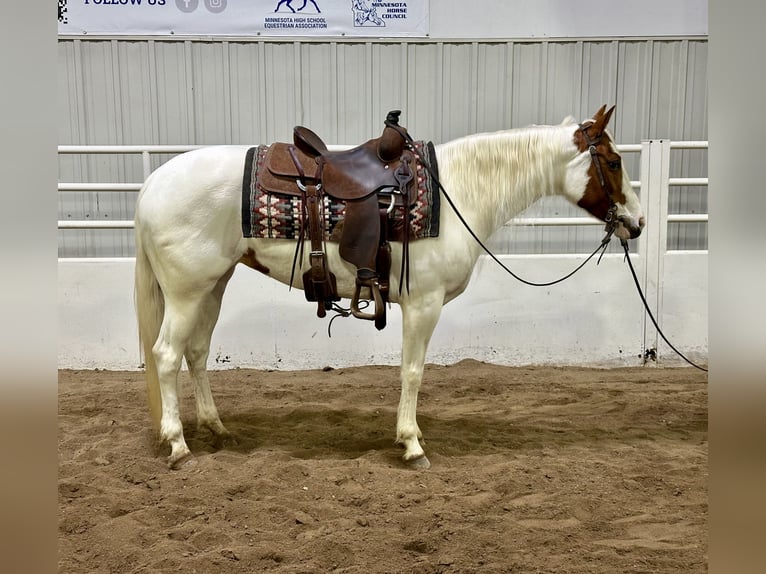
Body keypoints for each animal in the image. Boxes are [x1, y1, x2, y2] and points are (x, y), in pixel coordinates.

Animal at [135, 104, 644, 472]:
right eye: (614, 162)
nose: (637, 224)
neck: (456, 193)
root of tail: (152, 184)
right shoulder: (423, 305)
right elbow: (412, 371)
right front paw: (412, 444)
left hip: (212, 285)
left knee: (197, 352)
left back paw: (217, 429)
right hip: (186, 292)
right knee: (166, 354)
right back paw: (178, 444)